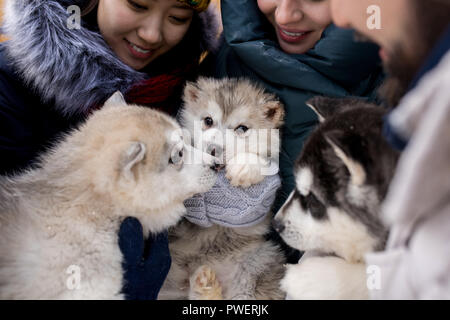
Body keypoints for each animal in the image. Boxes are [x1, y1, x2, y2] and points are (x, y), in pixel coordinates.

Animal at [158, 77, 284, 300]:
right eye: (208, 120)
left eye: (242, 128)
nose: (213, 149)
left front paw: (245, 167)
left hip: (260, 261)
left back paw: (206, 285)